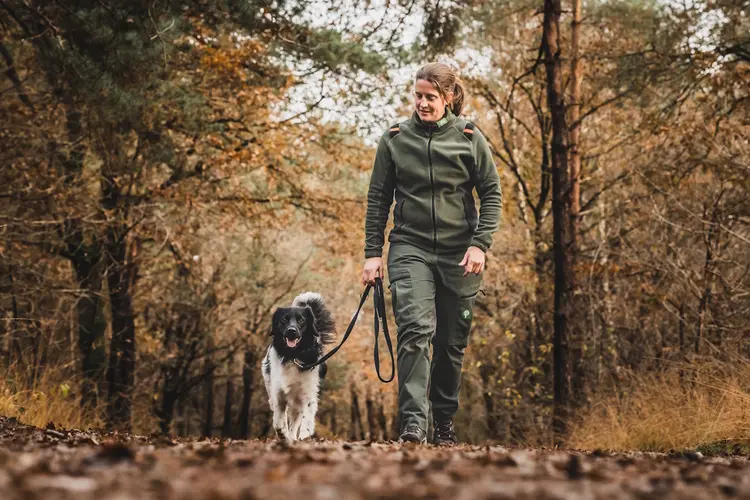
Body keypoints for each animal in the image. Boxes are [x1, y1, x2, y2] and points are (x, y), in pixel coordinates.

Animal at [262, 292, 336, 444]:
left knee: (295, 420)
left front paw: (303, 437)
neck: (293, 356)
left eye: (301, 320)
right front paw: (282, 434)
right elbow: (278, 421)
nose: (291, 331)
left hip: (297, 402)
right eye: (284, 320)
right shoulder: (279, 393)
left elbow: (305, 421)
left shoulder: (308, 393)